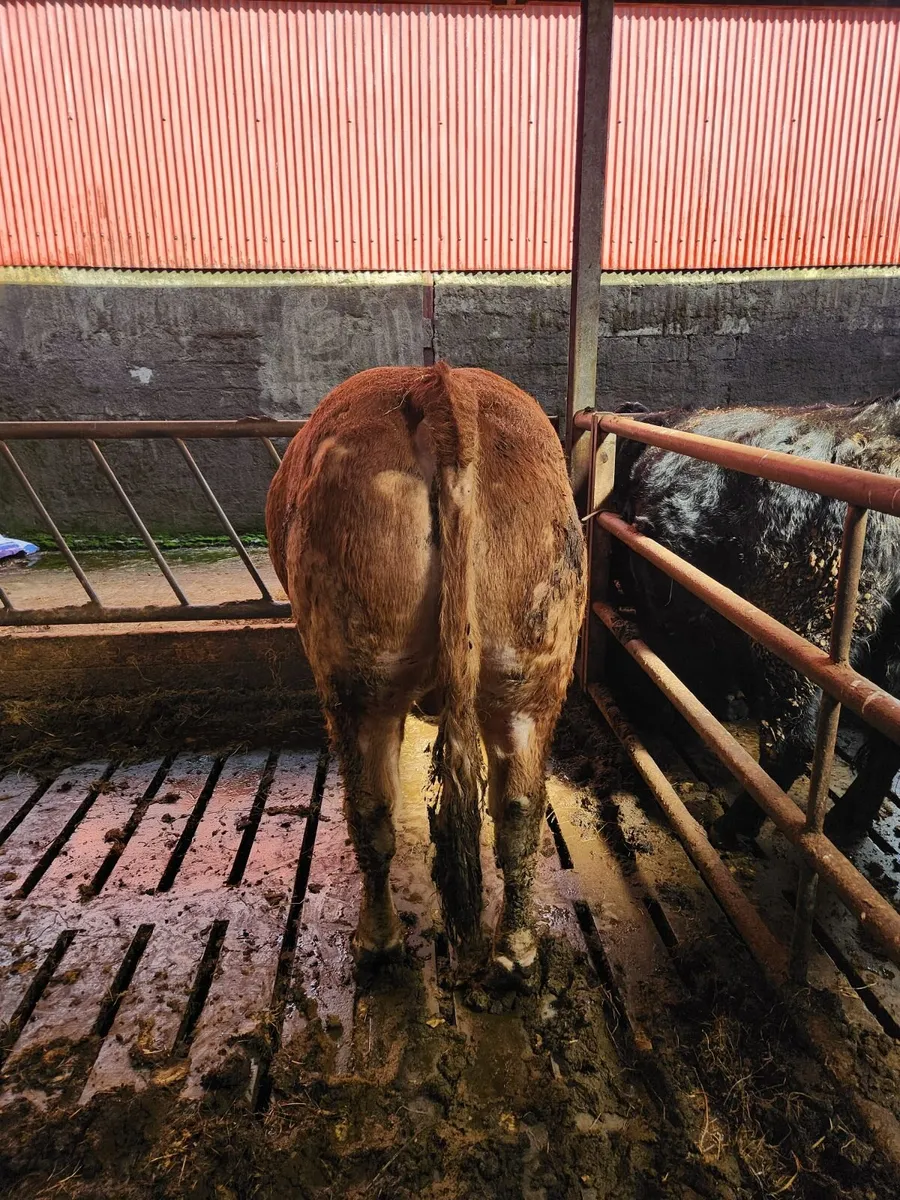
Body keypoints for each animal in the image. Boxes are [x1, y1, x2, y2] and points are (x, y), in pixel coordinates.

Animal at [266, 364, 586, 979]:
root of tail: (439, 385)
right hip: (530, 668)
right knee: (519, 811)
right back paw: (517, 950)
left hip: (359, 677)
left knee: (371, 812)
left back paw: (378, 942)